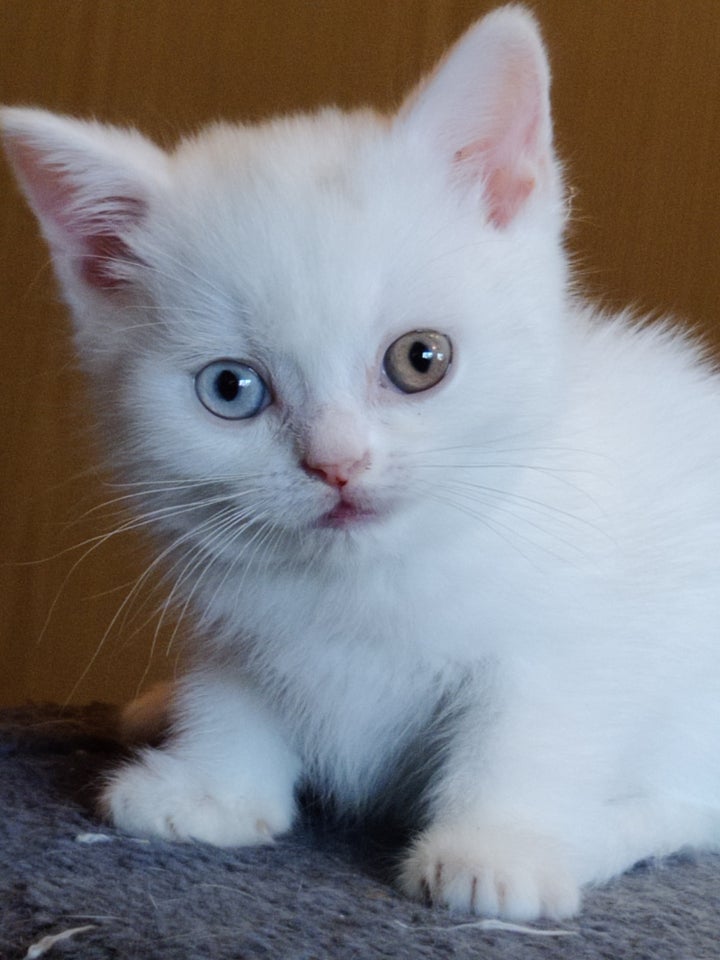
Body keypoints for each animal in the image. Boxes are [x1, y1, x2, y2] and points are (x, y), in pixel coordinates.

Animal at [5, 7, 720, 924]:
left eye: (421, 359)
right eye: (230, 388)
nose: (336, 464)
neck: (364, 582)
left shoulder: (572, 623)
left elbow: (533, 725)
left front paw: (498, 849)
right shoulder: (229, 605)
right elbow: (233, 685)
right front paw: (213, 788)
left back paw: (603, 831)